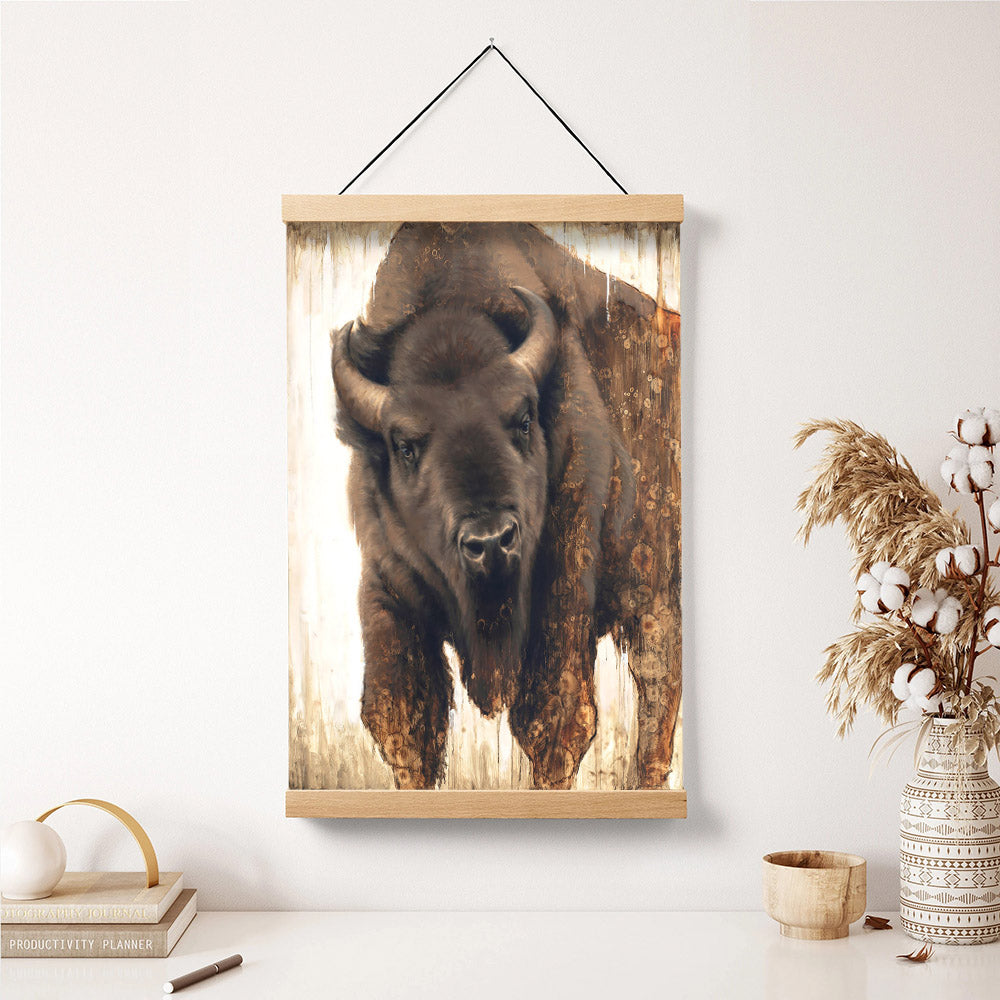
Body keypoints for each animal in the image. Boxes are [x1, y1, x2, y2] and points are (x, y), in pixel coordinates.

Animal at [332, 222, 681, 790]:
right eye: (404, 446)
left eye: (523, 419)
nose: (491, 541)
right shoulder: (388, 583)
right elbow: (403, 721)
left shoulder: (562, 590)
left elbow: (556, 720)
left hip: (654, 591)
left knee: (656, 679)